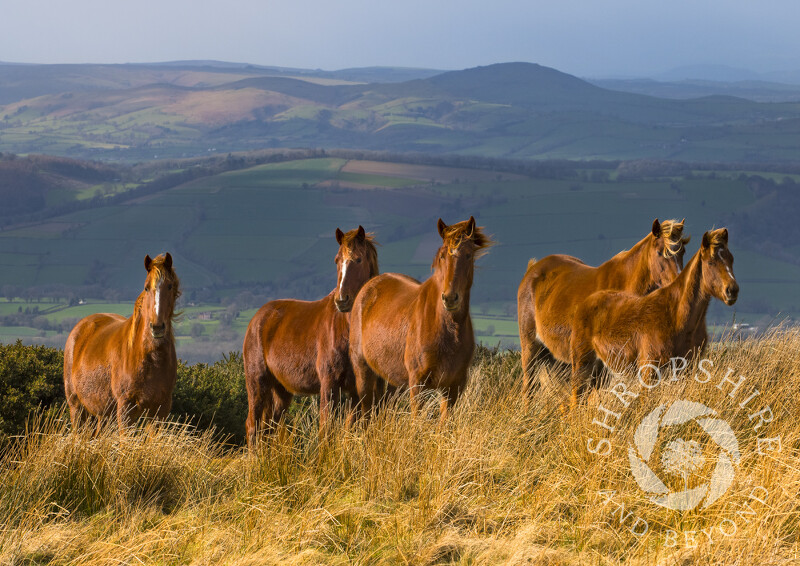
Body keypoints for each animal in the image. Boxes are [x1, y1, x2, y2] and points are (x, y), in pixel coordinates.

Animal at [63, 255, 181, 432]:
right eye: (146, 288)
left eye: (170, 286)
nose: (157, 327)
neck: (149, 358)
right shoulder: (125, 409)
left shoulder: (160, 410)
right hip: (76, 407)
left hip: (104, 414)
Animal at [242, 229, 380, 446]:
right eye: (337, 260)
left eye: (358, 260)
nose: (342, 300)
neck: (345, 329)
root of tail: (257, 319)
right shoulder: (329, 384)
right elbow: (326, 429)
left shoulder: (356, 389)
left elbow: (349, 429)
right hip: (257, 382)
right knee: (253, 426)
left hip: (281, 390)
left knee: (269, 427)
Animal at [350, 219, 494, 422]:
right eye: (442, 256)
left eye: (468, 255)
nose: (450, 298)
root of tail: (369, 287)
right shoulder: (418, 385)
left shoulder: (453, 387)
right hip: (362, 371)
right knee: (365, 411)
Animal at [516, 220, 692, 392]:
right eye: (660, 253)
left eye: (682, 252)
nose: (680, 282)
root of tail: (532, 269)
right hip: (531, 348)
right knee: (528, 387)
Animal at [568, 227, 736, 408]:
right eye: (711, 262)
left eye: (731, 259)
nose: (732, 290)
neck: (675, 315)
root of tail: (585, 303)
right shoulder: (649, 372)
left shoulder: (687, 371)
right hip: (582, 365)